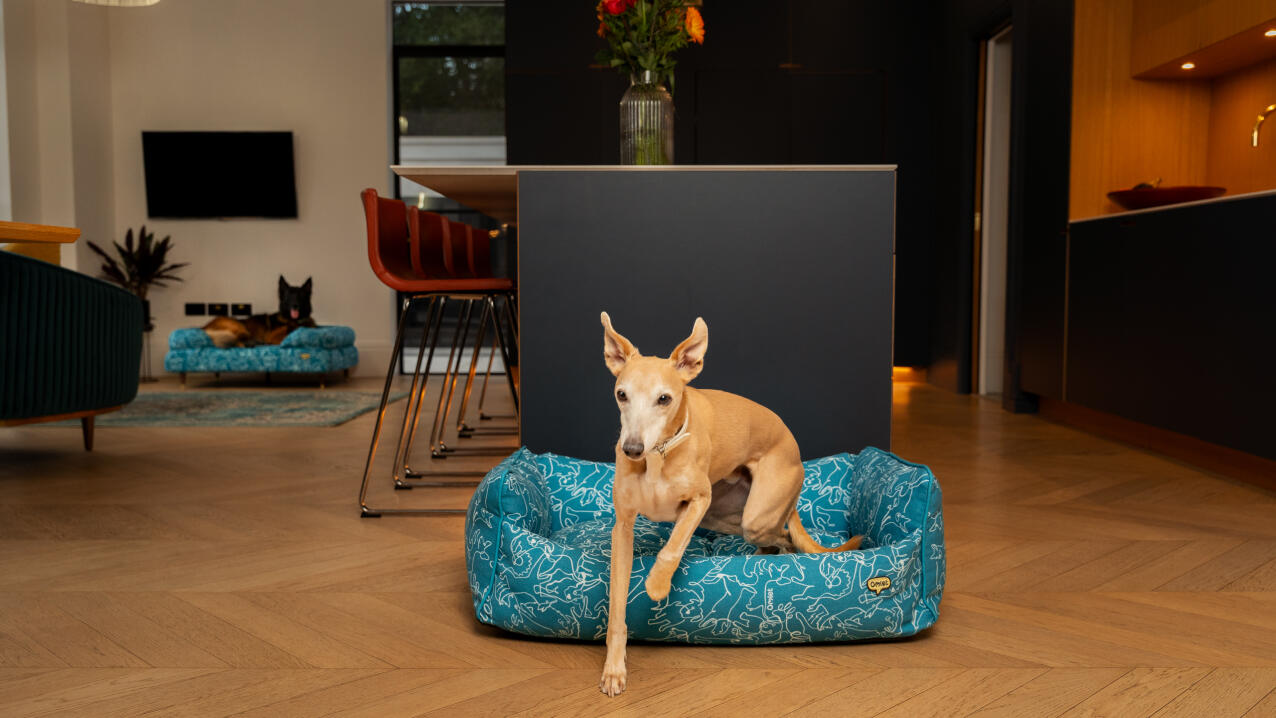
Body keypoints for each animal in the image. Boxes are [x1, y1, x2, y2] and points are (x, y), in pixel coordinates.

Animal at [599, 313, 862, 698]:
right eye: (622, 395)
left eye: (664, 399)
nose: (631, 449)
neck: (659, 454)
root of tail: (795, 455)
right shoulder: (624, 527)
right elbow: (617, 608)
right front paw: (614, 669)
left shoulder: (698, 501)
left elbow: (672, 547)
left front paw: (657, 584)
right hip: (725, 517)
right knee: (773, 542)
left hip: (755, 516)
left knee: (786, 538)